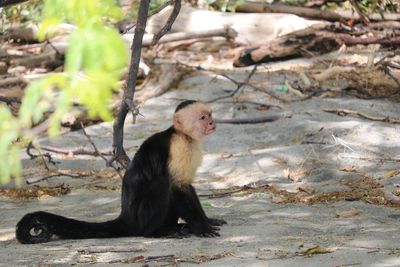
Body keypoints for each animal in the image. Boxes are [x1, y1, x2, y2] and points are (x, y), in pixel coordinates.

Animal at [15, 100, 225, 245]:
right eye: (203, 118)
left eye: (209, 114)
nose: (212, 123)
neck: (183, 135)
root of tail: (126, 218)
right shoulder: (179, 147)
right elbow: (177, 187)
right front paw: (202, 227)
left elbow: (187, 186)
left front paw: (207, 220)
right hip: (141, 217)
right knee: (161, 184)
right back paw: (157, 232)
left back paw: (177, 227)